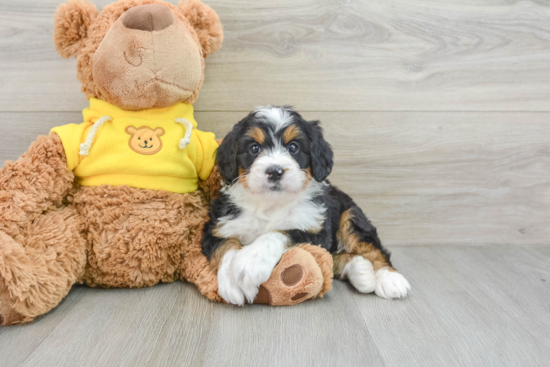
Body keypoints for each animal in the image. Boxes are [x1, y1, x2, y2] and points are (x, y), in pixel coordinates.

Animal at [203, 107, 410, 308]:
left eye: (293, 147)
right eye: (254, 148)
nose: (275, 171)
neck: (271, 203)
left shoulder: (316, 230)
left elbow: (281, 232)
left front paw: (250, 261)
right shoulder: (217, 225)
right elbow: (225, 245)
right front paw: (231, 282)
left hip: (350, 215)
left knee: (371, 248)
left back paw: (390, 278)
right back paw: (361, 271)